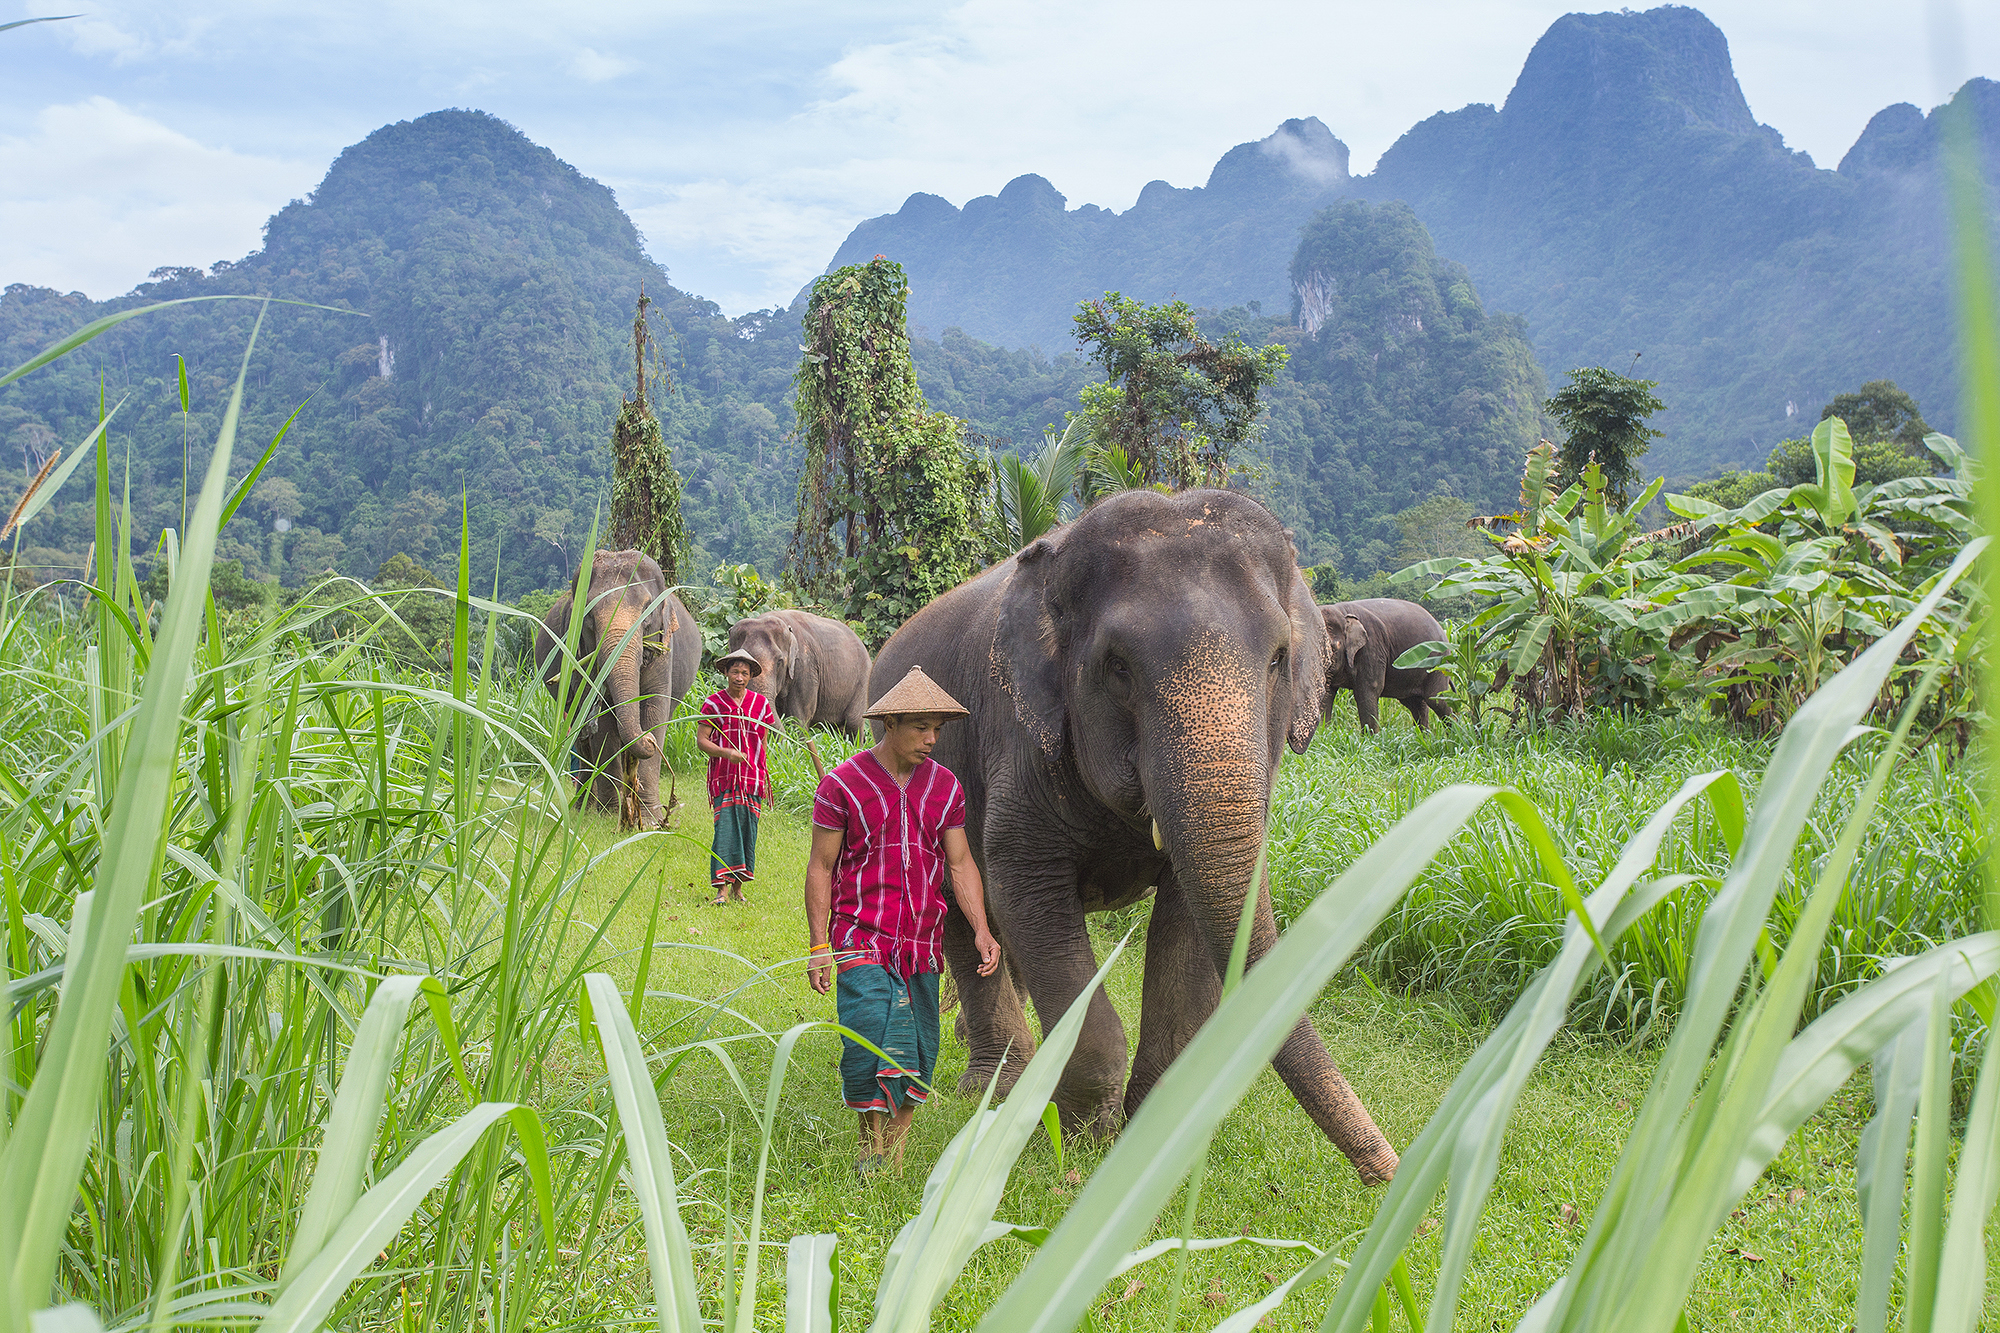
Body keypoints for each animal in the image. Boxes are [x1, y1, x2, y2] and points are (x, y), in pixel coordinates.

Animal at [534, 549, 702, 828]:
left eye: (648, 610)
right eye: (589, 616)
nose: (647, 740)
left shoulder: (664, 652)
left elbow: (654, 712)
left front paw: (650, 820)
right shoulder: (581, 654)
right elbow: (602, 723)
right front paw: (611, 815)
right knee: (581, 738)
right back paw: (584, 807)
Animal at [872, 487, 1400, 1184]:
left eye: (1279, 659)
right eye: (1116, 665)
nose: (1387, 1173)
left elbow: (1189, 926)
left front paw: (1146, 1139)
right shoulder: (1021, 750)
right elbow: (1025, 896)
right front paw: (1081, 1141)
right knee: (963, 915)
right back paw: (994, 1088)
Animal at [1321, 598, 1453, 733]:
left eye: (1331, 647)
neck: (1341, 611)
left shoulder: (1371, 648)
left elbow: (1369, 690)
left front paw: (1370, 737)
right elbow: (1327, 695)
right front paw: (1323, 732)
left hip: (1437, 663)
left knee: (1437, 700)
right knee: (1416, 704)